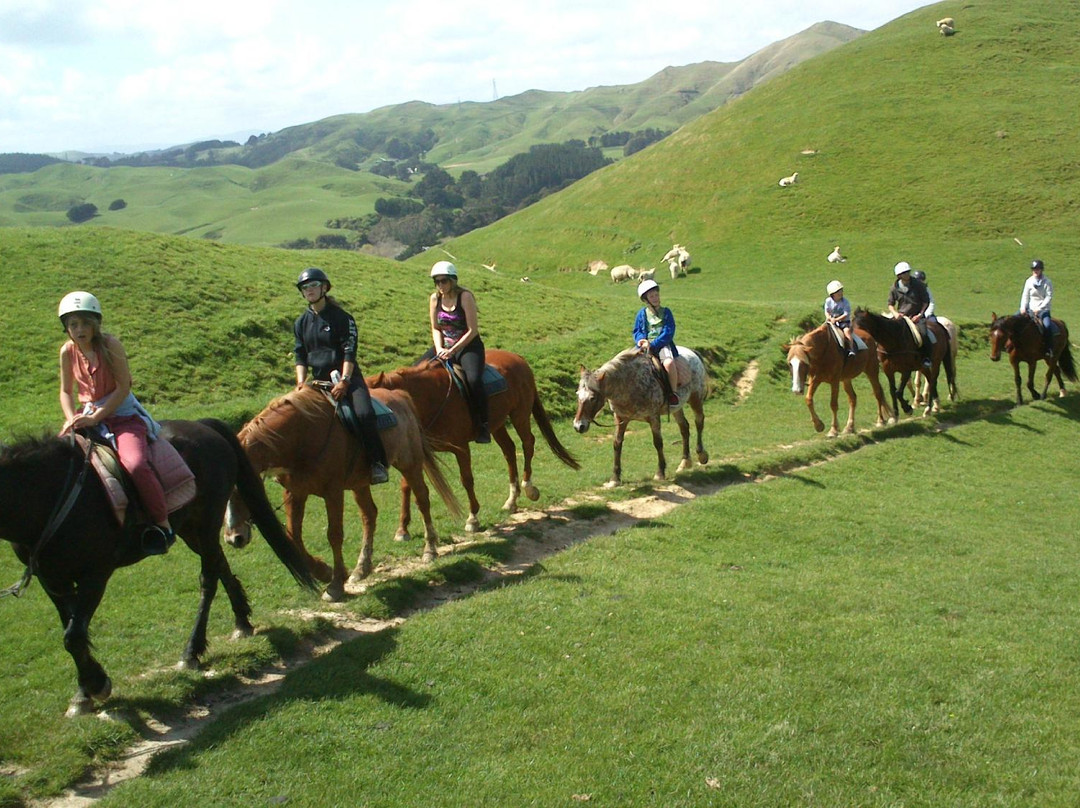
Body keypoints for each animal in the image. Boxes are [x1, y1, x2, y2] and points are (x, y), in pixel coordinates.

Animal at [0, 419, 317, 717]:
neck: (52, 495)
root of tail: (202, 425)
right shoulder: (51, 580)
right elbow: (72, 629)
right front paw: (84, 691)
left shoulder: (95, 574)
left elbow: (74, 634)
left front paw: (96, 685)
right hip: (190, 527)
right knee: (220, 564)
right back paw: (241, 622)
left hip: (206, 520)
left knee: (209, 578)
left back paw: (192, 651)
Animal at [225, 384, 462, 600]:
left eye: (241, 488)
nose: (233, 538)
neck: (302, 437)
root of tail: (400, 396)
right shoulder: (295, 493)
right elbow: (294, 536)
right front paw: (324, 571)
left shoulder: (333, 491)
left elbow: (334, 534)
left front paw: (336, 584)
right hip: (360, 483)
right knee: (369, 515)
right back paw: (362, 568)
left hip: (409, 463)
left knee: (422, 498)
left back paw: (429, 550)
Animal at [365, 349, 583, 540]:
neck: (430, 397)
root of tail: (518, 358)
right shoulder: (413, 453)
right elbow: (407, 486)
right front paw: (402, 529)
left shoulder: (461, 448)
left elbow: (467, 480)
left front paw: (473, 519)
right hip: (497, 424)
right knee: (509, 450)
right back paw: (511, 500)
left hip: (520, 414)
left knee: (528, 443)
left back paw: (529, 487)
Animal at [574, 343, 708, 486]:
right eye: (577, 394)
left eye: (592, 398)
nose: (578, 426)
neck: (629, 384)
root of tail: (692, 353)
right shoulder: (621, 418)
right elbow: (617, 444)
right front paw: (615, 478)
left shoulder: (654, 417)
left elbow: (658, 442)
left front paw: (660, 473)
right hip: (677, 408)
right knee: (684, 428)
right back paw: (685, 462)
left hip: (695, 398)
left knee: (699, 421)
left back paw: (702, 455)